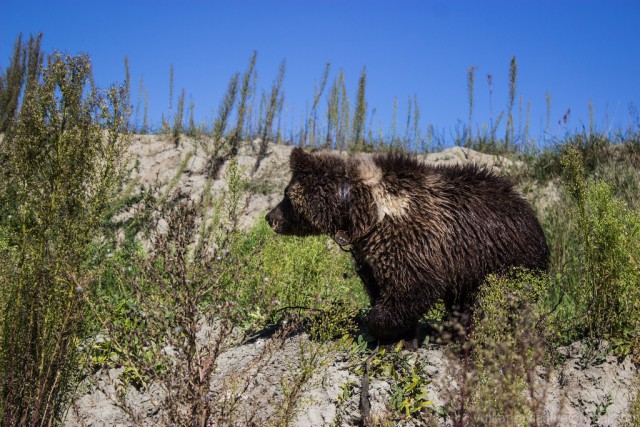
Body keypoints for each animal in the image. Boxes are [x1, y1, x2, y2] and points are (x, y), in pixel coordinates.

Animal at [264, 149, 552, 342]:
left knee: (498, 302)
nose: (269, 218)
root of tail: (531, 213)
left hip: (505, 258)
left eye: (286, 195)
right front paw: (402, 333)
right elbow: (379, 284)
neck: (365, 211)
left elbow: (411, 286)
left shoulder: (412, 238)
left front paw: (377, 326)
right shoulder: (370, 249)